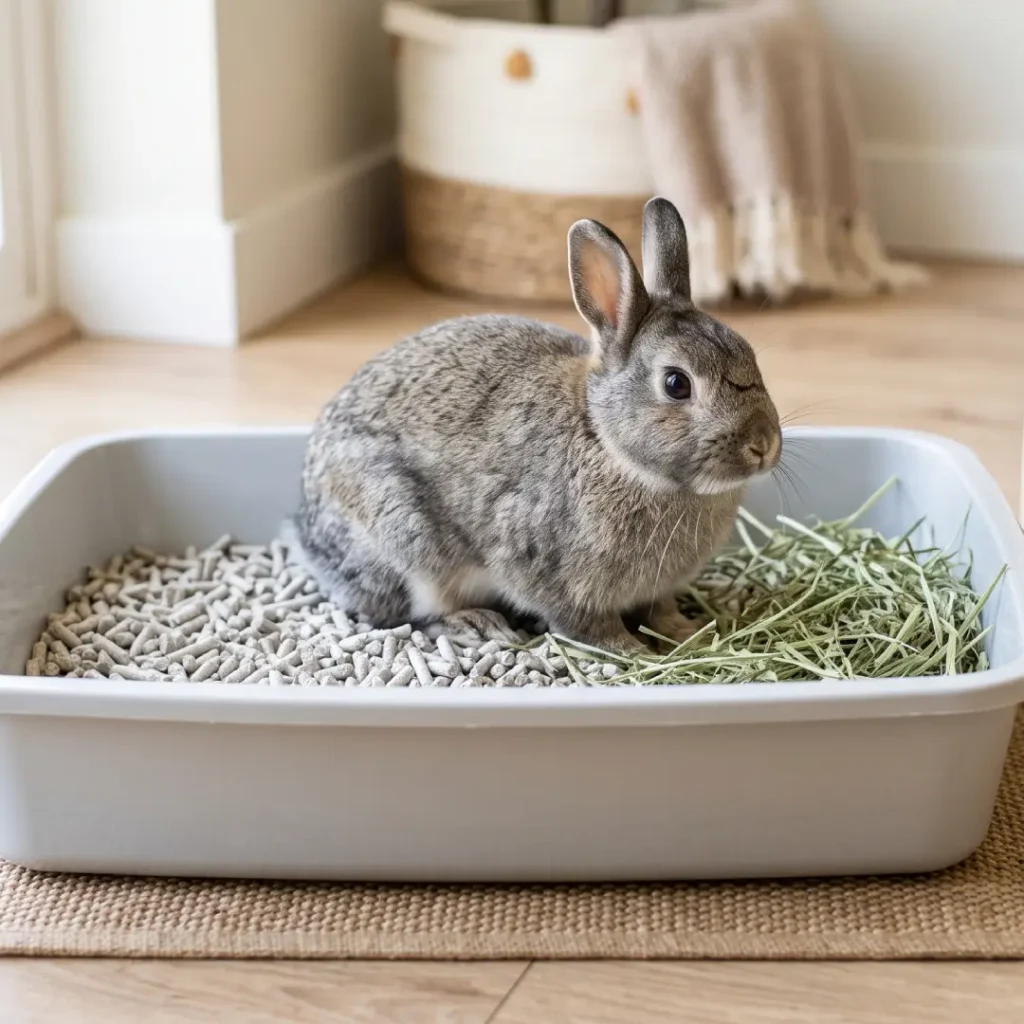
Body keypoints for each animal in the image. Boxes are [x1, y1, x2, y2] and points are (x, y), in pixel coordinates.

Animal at [293, 197, 781, 653]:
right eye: (677, 384)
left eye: (749, 353)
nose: (764, 445)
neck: (605, 439)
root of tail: (309, 534)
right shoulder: (548, 571)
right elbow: (586, 625)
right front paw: (630, 650)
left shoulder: (657, 589)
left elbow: (660, 610)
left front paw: (688, 633)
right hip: (403, 537)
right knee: (412, 613)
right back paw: (476, 623)